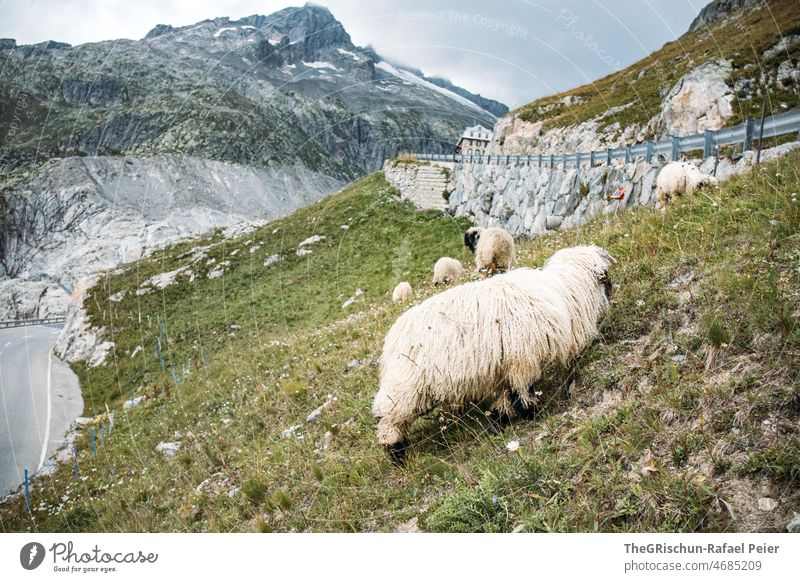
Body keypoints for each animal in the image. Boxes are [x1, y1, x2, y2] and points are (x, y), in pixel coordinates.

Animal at [372, 246, 616, 466]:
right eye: (606, 278)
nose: (613, 291)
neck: (562, 292)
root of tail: (391, 339)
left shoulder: (504, 365)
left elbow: (506, 396)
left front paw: (501, 419)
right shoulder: (522, 361)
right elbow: (522, 391)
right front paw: (530, 413)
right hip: (405, 387)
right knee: (389, 421)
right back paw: (396, 454)